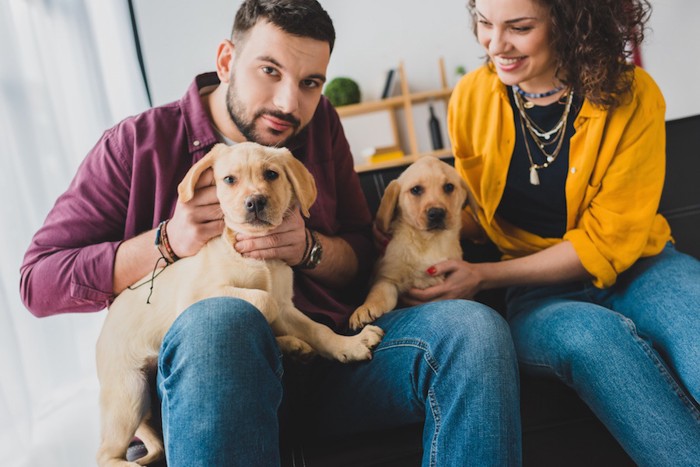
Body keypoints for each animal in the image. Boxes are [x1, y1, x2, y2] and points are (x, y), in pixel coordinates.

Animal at [94, 144, 382, 467]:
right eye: (229, 180)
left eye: (272, 174)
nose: (255, 202)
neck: (257, 251)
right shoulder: (199, 294)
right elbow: (262, 300)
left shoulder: (287, 306)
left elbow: (317, 329)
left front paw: (349, 345)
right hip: (128, 392)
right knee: (104, 454)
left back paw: (292, 346)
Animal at [348, 155, 468, 330]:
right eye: (416, 190)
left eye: (449, 187)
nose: (437, 213)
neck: (428, 241)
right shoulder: (387, 279)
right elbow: (377, 293)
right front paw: (364, 309)